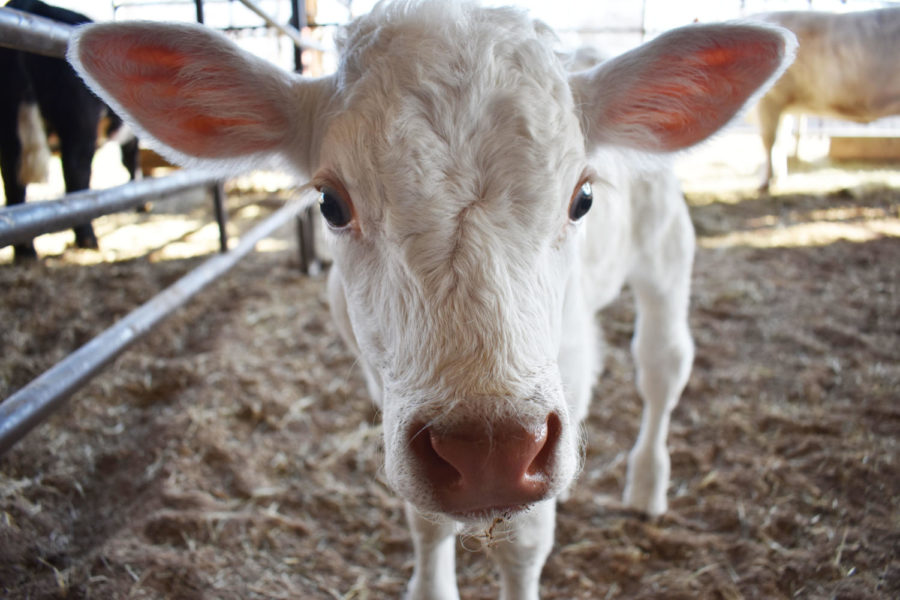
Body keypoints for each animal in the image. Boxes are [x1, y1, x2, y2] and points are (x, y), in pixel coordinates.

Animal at [0, 1, 140, 262]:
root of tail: (28, 5)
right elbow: (131, 161)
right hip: (78, 119)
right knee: (76, 173)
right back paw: (89, 240)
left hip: (9, 121)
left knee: (13, 178)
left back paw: (26, 251)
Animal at [67, 2, 792, 596]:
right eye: (330, 203)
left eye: (583, 196)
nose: (489, 451)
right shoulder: (387, 389)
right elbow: (424, 518)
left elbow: (526, 541)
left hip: (666, 251)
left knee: (663, 366)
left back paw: (646, 484)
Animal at [756, 7, 896, 190]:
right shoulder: (782, 104)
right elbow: (780, 139)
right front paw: (777, 179)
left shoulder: (770, 98)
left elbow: (770, 140)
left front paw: (765, 182)